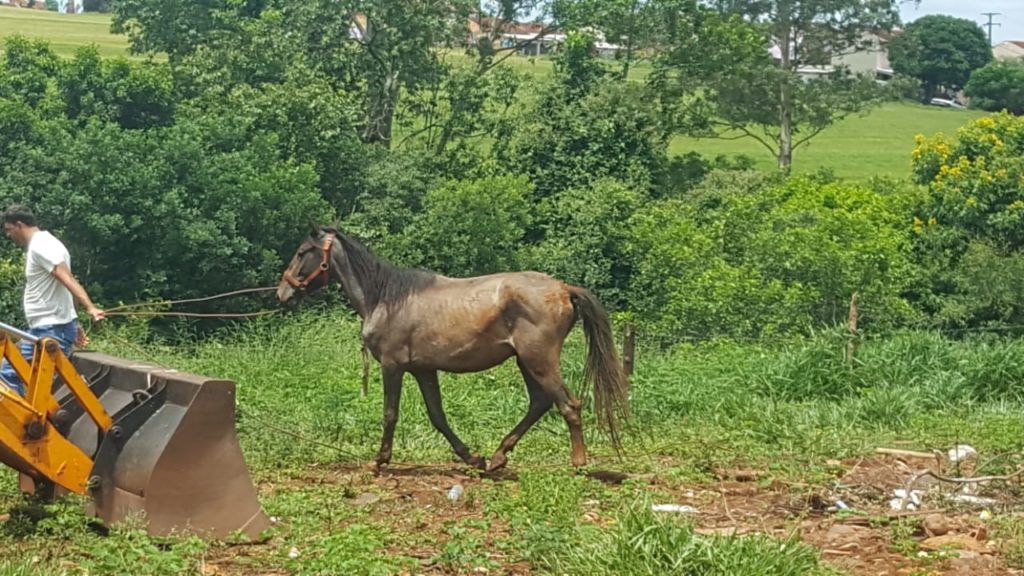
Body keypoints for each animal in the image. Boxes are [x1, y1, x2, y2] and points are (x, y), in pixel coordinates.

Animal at [276, 224, 630, 472]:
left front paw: (380, 461)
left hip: (538, 361)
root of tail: (564, 289)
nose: (282, 293)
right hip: (526, 363)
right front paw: (471, 458)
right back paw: (498, 457)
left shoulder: (393, 366)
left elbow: (390, 414)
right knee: (540, 403)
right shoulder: (424, 370)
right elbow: (438, 416)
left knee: (568, 405)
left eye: (302, 252)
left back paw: (578, 463)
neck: (387, 298)